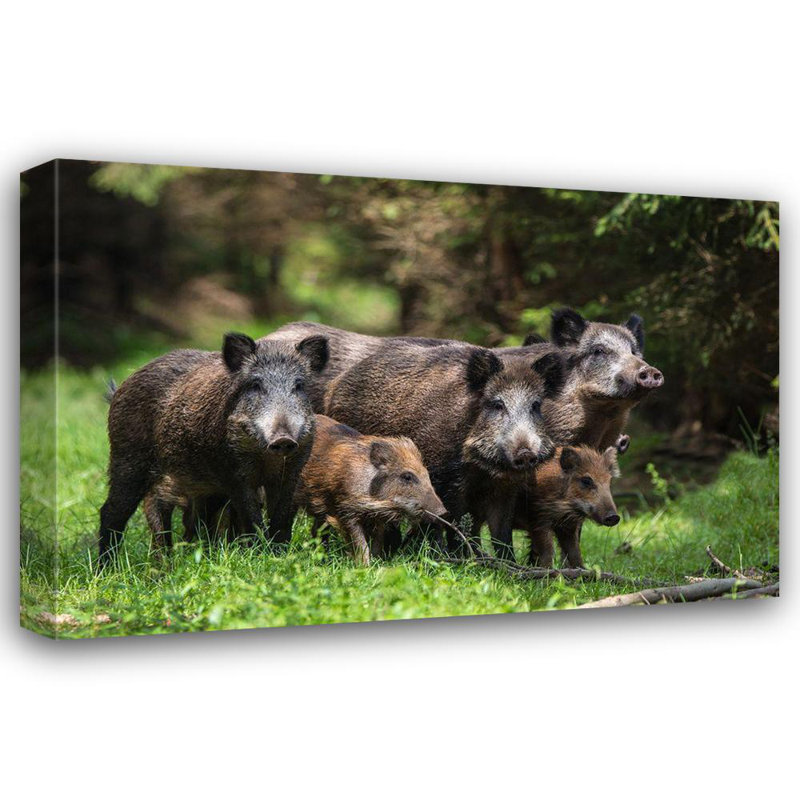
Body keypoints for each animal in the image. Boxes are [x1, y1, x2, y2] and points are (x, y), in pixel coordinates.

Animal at [97, 332, 328, 564]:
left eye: (298, 386)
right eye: (255, 384)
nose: (283, 439)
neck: (265, 459)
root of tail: (122, 387)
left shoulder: (291, 472)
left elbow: (281, 519)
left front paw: (279, 556)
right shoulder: (233, 474)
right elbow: (252, 518)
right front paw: (261, 555)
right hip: (127, 459)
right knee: (111, 512)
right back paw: (108, 567)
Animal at [293, 415, 447, 565]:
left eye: (426, 474)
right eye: (407, 476)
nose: (443, 512)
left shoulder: (379, 519)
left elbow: (377, 545)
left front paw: (377, 564)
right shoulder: (345, 512)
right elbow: (362, 546)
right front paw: (364, 567)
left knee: (316, 531)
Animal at [324, 342, 565, 562]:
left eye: (535, 405)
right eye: (497, 404)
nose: (525, 453)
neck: (482, 470)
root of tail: (336, 385)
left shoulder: (505, 490)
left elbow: (502, 535)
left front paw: (506, 565)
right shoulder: (447, 482)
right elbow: (452, 523)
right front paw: (459, 559)